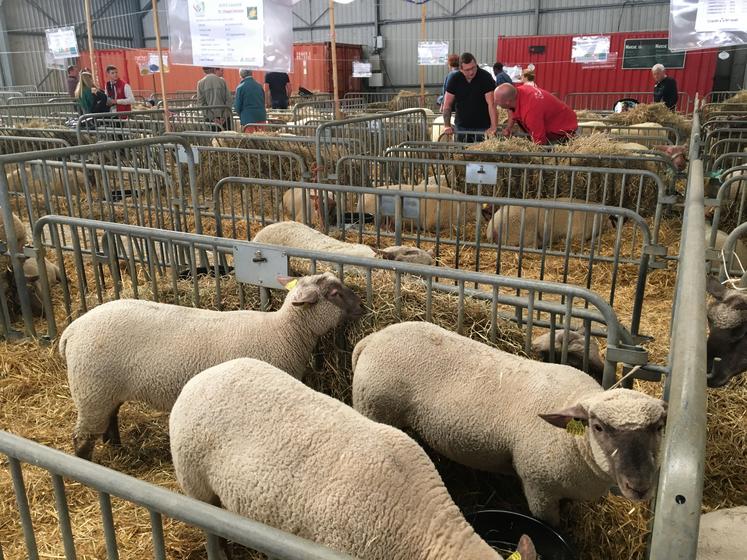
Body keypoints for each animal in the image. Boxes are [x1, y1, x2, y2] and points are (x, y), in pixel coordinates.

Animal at [59, 272, 366, 460]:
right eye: (335, 293)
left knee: (109, 418)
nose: (363, 306)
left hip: (104, 390)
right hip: (91, 387)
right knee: (82, 437)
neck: (283, 332)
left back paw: (117, 446)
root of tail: (71, 331)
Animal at [350, 320, 668, 524]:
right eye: (598, 427)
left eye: (659, 427)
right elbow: (552, 526)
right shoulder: (539, 488)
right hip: (373, 406)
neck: (573, 440)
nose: (640, 486)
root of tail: (373, 338)